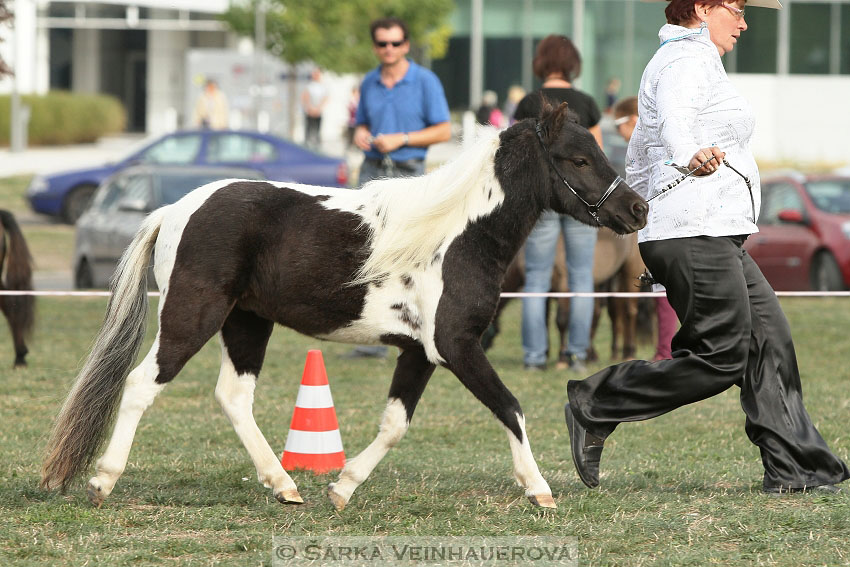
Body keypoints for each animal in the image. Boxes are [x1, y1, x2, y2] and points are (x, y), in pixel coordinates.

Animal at [43, 102, 644, 510]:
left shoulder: (419, 352)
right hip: (192, 317)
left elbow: (395, 425)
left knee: (234, 397)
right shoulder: (456, 346)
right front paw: (540, 489)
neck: (456, 235)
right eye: (578, 158)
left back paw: (285, 486)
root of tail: (174, 209)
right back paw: (102, 481)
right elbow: (511, 407)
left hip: (246, 322)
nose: (636, 210)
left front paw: (342, 487)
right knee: (142, 384)